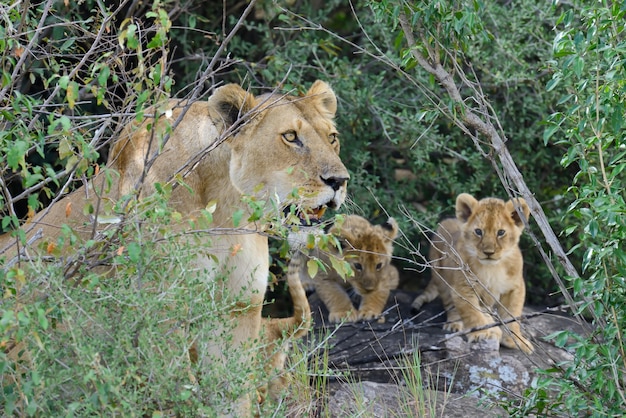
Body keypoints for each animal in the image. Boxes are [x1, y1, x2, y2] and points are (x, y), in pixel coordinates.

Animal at [1, 81, 346, 414]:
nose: (340, 181)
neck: (226, 207)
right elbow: (174, 389)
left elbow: (232, 394)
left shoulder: (237, 308)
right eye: (290, 137)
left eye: (332, 138)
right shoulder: (161, 307)